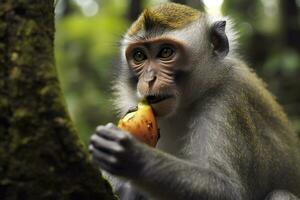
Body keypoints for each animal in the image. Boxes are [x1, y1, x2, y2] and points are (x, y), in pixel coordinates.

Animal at [89, 2, 300, 200]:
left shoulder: (226, 100)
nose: (148, 80)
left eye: (166, 52)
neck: (184, 106)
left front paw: (132, 156)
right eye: (139, 55)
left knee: (280, 194)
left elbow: (228, 190)